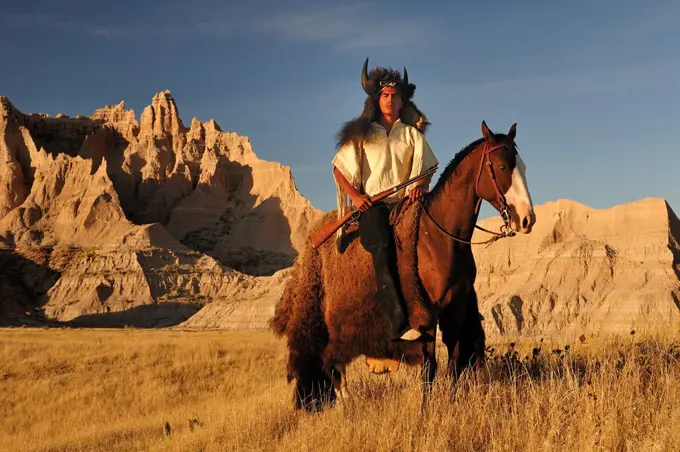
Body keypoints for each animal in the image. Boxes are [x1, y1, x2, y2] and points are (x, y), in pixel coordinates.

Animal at [268, 120, 532, 410]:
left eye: (523, 167)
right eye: (503, 167)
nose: (527, 219)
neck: (440, 237)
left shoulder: (456, 307)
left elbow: (453, 362)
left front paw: (450, 405)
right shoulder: (426, 314)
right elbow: (429, 367)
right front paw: (425, 410)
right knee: (333, 364)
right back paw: (345, 403)